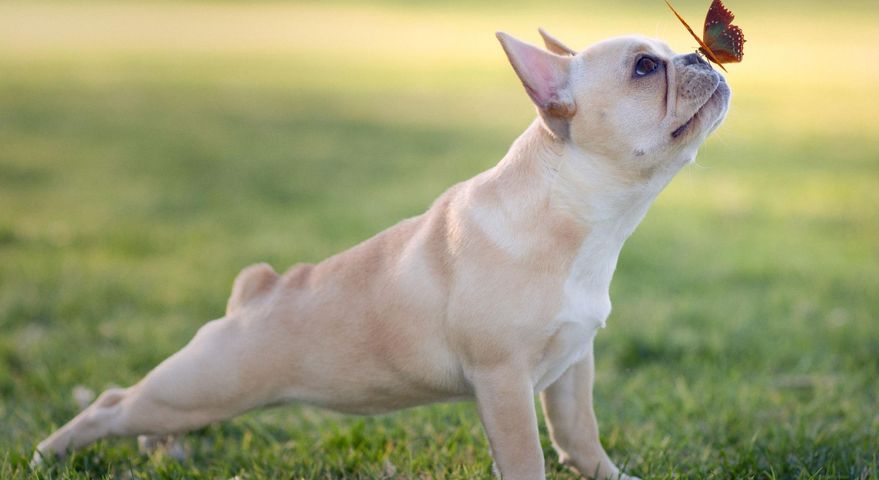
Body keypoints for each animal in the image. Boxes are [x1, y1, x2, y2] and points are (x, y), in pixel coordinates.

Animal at [34, 31, 732, 480]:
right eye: (644, 68)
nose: (699, 53)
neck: (577, 211)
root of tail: (255, 294)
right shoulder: (503, 378)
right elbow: (526, 458)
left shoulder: (571, 364)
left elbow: (579, 437)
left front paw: (612, 475)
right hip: (203, 382)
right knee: (112, 403)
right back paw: (51, 454)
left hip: (199, 394)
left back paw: (162, 452)